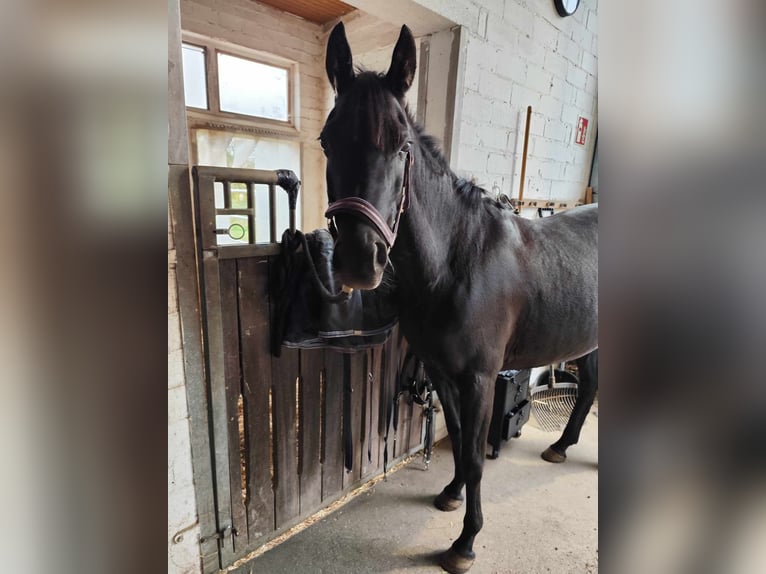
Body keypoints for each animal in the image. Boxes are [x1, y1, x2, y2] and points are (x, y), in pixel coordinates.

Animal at [322, 23, 600, 574]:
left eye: (402, 146)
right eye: (326, 140)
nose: (359, 262)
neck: (456, 264)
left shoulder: (479, 379)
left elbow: (472, 454)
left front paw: (465, 541)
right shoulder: (440, 371)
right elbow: (451, 432)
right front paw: (450, 494)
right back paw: (560, 446)